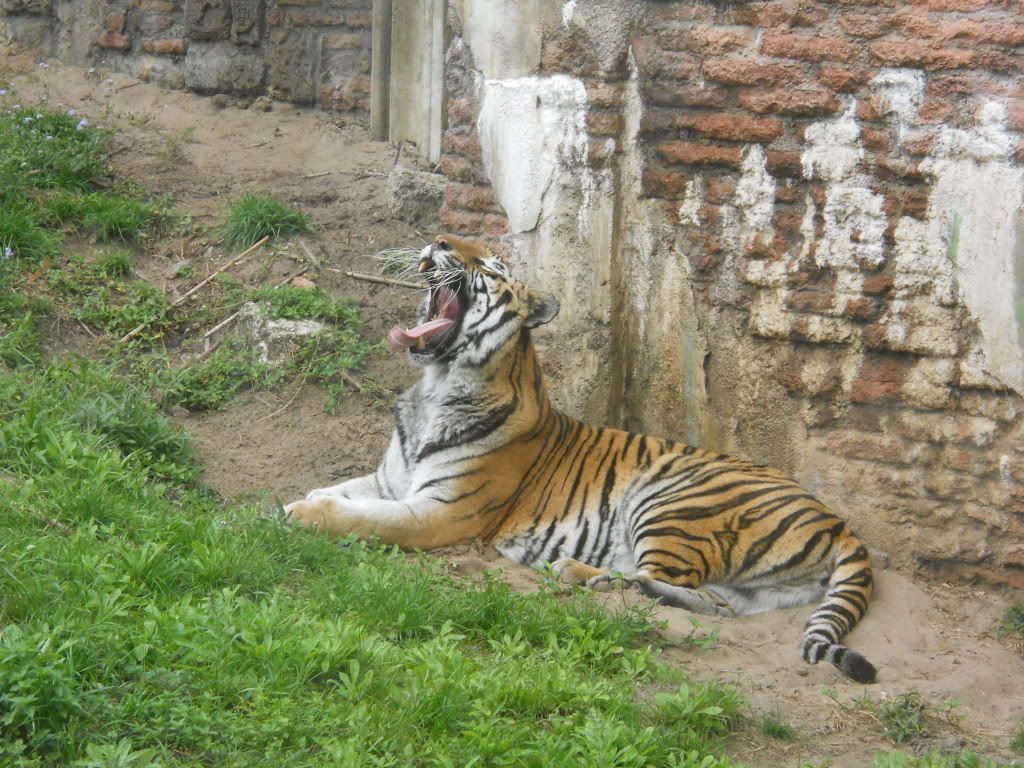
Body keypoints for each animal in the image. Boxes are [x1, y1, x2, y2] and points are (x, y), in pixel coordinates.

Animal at [284, 234, 876, 684]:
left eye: (492, 267)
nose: (440, 240)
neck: (434, 386)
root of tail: (840, 522)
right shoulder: (392, 481)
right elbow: (344, 490)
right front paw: (307, 498)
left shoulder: (443, 512)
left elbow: (367, 520)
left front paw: (299, 514)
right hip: (747, 585)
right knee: (713, 603)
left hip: (672, 501)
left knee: (660, 580)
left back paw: (572, 572)